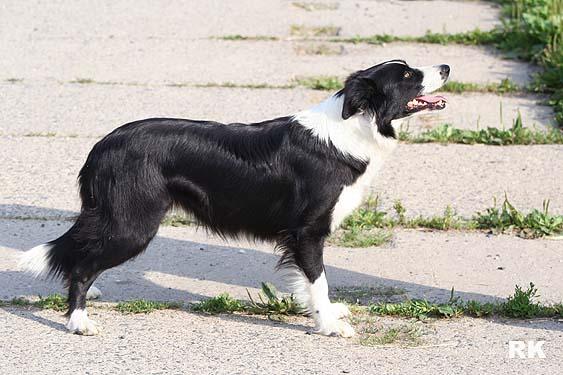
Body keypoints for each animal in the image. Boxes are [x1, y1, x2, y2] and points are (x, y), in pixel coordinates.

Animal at [20, 59, 450, 338]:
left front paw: (322, 313)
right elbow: (319, 279)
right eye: (408, 75)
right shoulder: (308, 232)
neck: (353, 123)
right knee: (81, 265)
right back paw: (78, 320)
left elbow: (310, 283)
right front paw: (329, 325)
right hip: (133, 224)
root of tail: (100, 147)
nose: (446, 68)